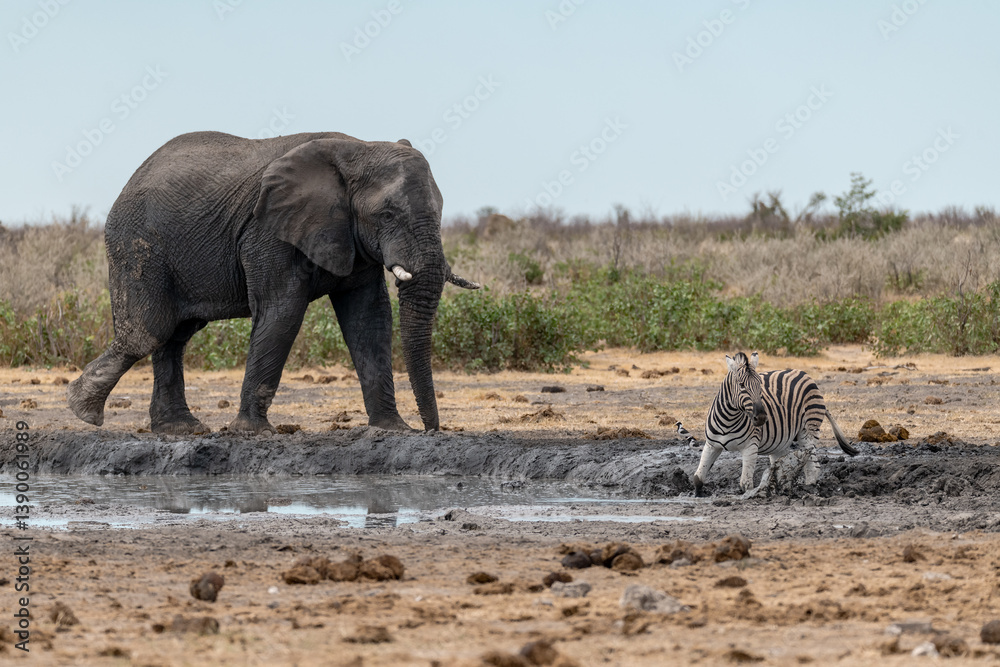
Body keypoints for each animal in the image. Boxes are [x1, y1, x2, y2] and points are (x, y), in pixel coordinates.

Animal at [67, 131, 478, 435]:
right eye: (387, 215)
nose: (432, 430)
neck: (357, 149)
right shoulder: (267, 230)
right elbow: (282, 311)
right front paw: (253, 433)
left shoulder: (352, 239)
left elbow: (369, 319)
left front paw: (392, 429)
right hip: (138, 245)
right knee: (147, 332)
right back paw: (82, 410)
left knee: (175, 336)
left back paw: (180, 429)